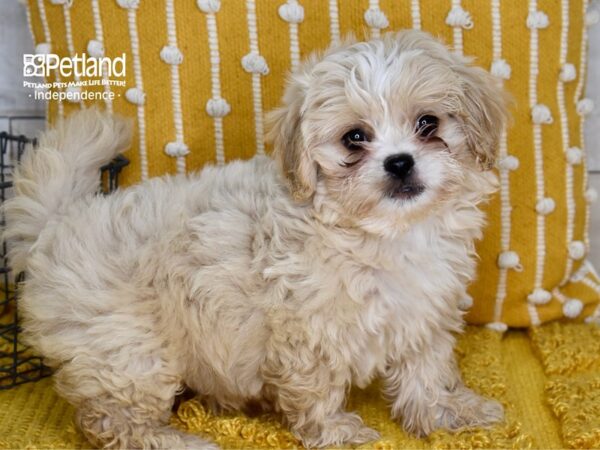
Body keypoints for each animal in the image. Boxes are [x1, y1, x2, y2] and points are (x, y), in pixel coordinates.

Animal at [4, 29, 508, 448]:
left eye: (428, 124)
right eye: (354, 138)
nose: (400, 162)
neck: (385, 232)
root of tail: (58, 224)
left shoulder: (423, 315)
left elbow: (426, 370)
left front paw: (447, 411)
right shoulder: (305, 331)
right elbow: (316, 389)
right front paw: (336, 431)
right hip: (128, 352)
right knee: (111, 421)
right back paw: (177, 441)